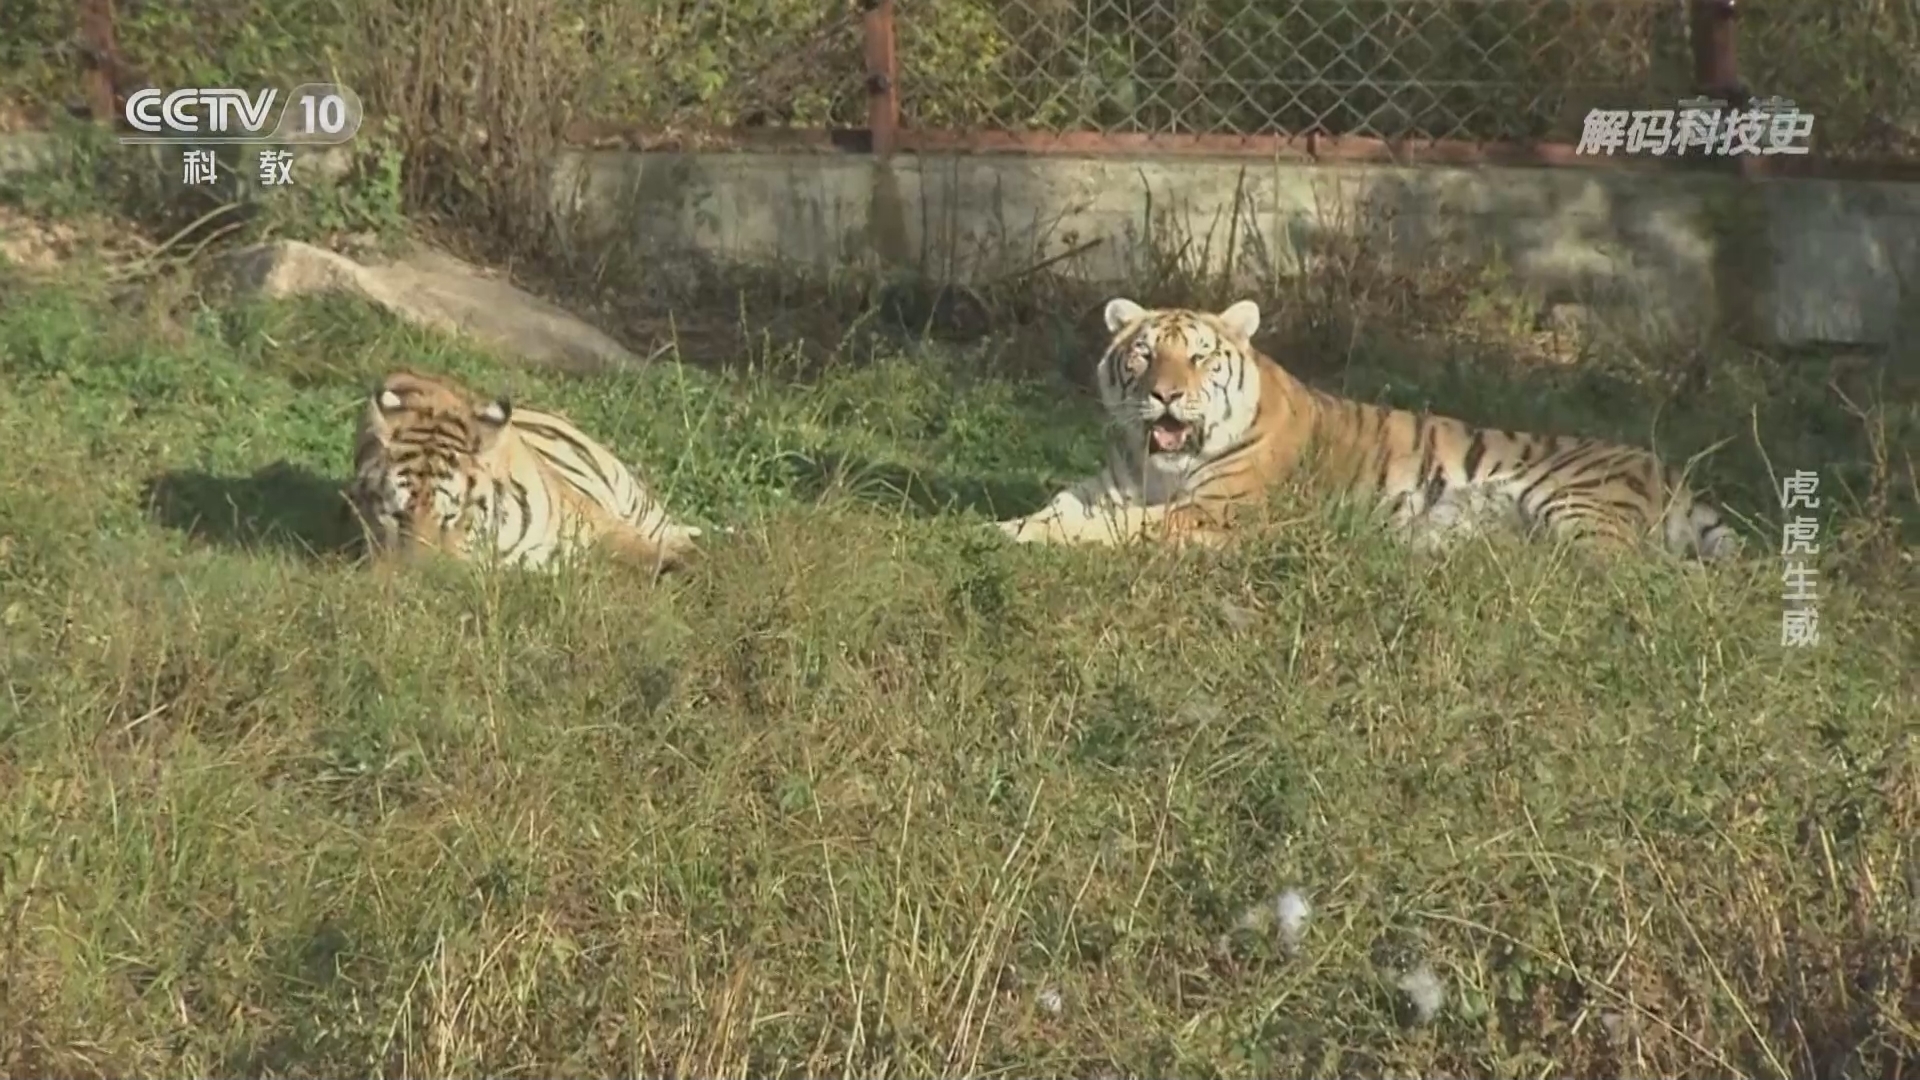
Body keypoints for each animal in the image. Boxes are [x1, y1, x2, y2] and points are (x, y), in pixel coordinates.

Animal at [345, 371, 702, 573]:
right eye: (396, 515)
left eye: (451, 516)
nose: (418, 574)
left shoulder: (591, 518)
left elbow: (629, 542)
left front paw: (680, 563)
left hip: (632, 494)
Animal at [992, 297, 1741, 560]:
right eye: (1145, 355)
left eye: (1199, 358)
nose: (1166, 395)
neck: (1160, 467)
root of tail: (1668, 468)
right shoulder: (1109, 485)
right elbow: (1058, 505)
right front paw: (1004, 528)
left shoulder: (1220, 512)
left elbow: (1123, 528)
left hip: (1575, 508)